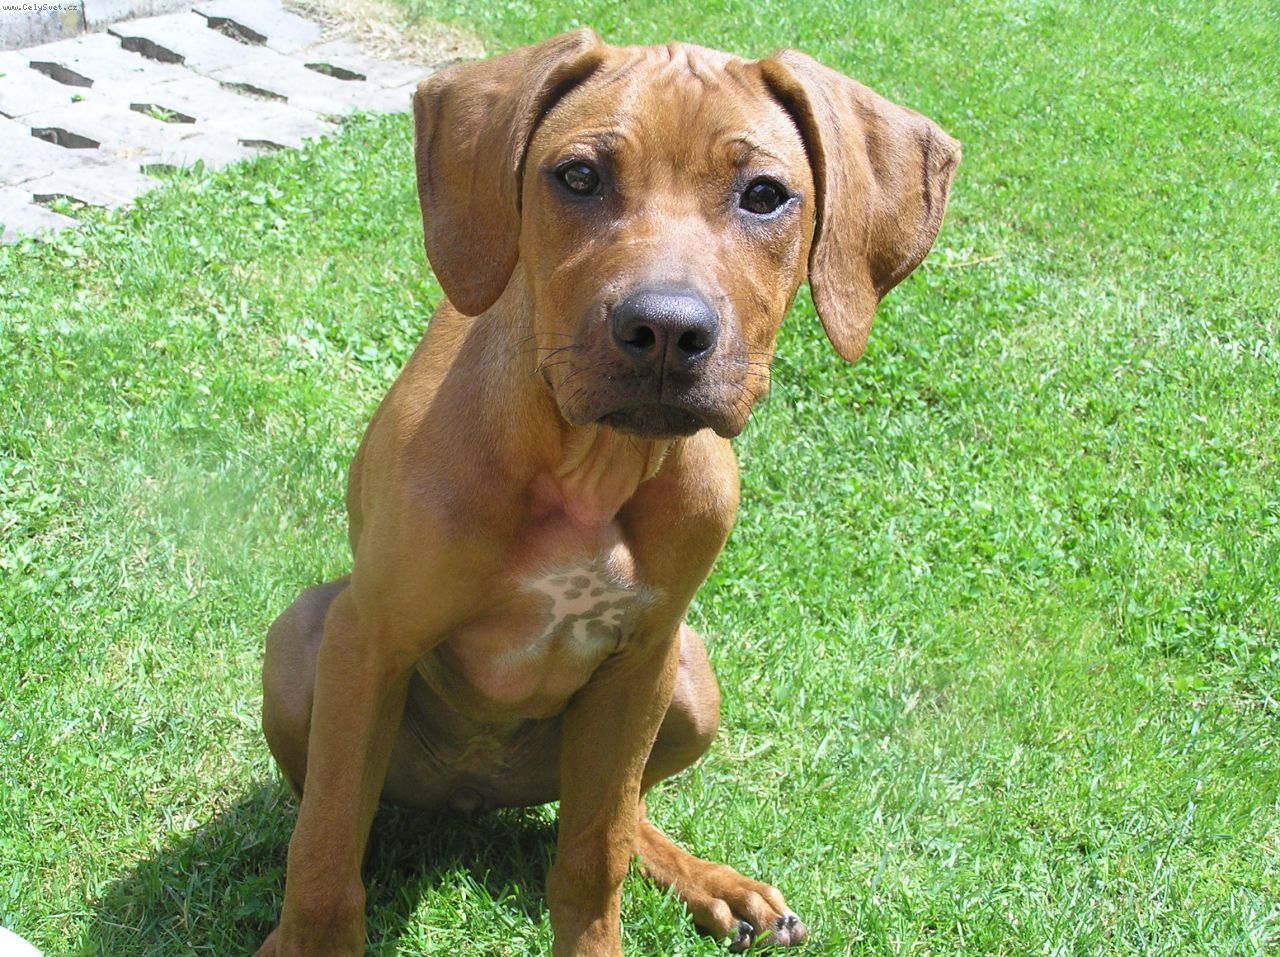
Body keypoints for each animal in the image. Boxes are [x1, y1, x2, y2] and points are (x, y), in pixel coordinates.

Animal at [254, 28, 958, 956]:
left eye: (766, 195)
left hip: (689, 680)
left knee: (613, 816)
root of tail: (479, 792)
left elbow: (596, 857)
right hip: (303, 635)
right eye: (579, 176)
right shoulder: (370, 641)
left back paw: (709, 880)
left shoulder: (640, 663)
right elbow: (327, 851)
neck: (590, 463)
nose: (665, 329)